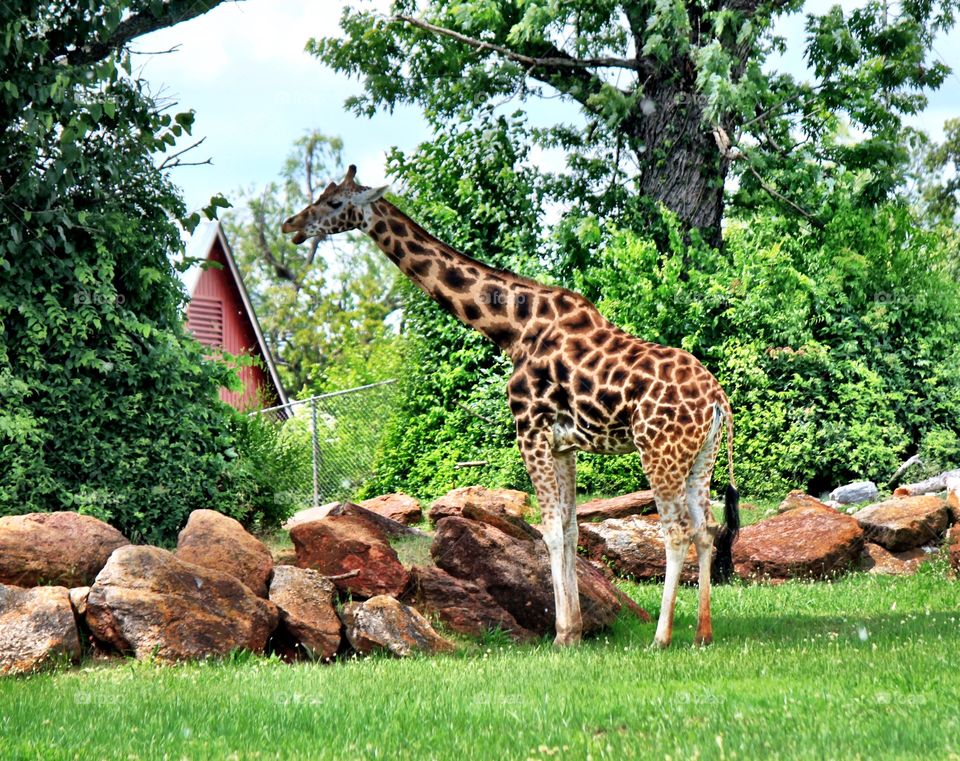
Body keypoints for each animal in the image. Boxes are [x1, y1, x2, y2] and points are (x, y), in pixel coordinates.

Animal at [282, 166, 739, 648]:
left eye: (334, 204)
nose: (291, 226)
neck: (511, 327)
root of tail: (718, 401)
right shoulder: (563, 444)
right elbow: (571, 529)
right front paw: (576, 630)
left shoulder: (529, 430)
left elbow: (550, 531)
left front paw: (561, 633)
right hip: (700, 458)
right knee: (706, 528)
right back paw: (703, 633)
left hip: (659, 452)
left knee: (676, 531)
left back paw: (661, 637)